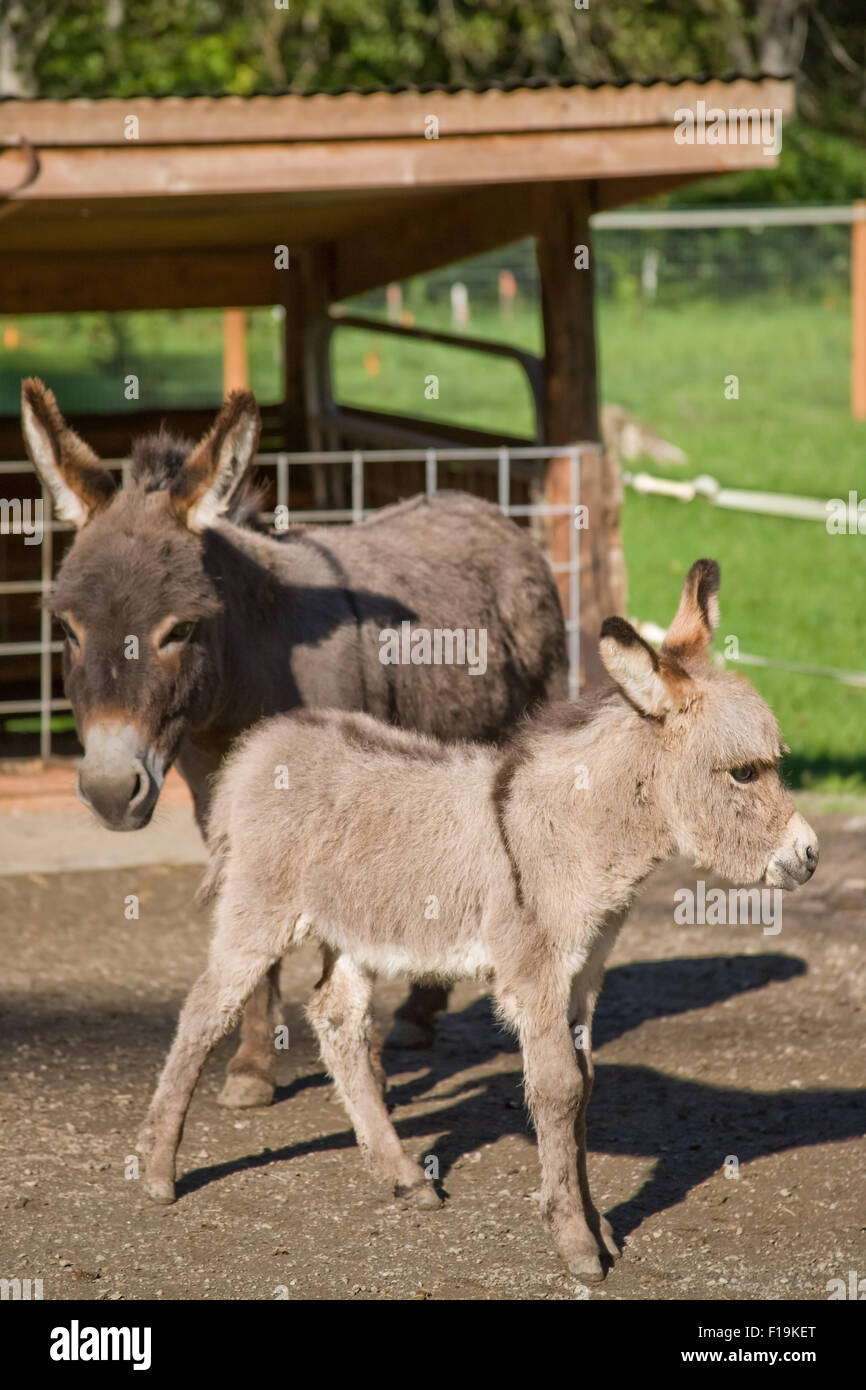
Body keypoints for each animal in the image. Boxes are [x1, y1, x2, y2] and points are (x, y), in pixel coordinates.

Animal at [139, 558, 817, 1273]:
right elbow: (558, 1088)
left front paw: (599, 1226)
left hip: (353, 926)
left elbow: (585, 1085)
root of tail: (263, 742)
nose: (809, 857)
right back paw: (157, 1171)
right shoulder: (534, 973)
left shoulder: (584, 972)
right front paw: (576, 1243)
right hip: (260, 909)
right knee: (206, 1011)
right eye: (743, 774)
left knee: (336, 1018)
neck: (575, 831)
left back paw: (404, 1176)